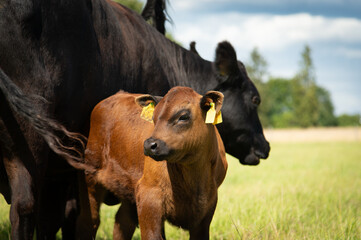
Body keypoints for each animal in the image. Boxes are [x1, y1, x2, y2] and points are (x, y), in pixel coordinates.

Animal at [82, 86, 226, 240]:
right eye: (153, 117)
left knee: (122, 224)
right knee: (90, 221)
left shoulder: (207, 208)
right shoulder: (149, 196)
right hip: (90, 178)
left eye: (183, 117)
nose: (148, 145)